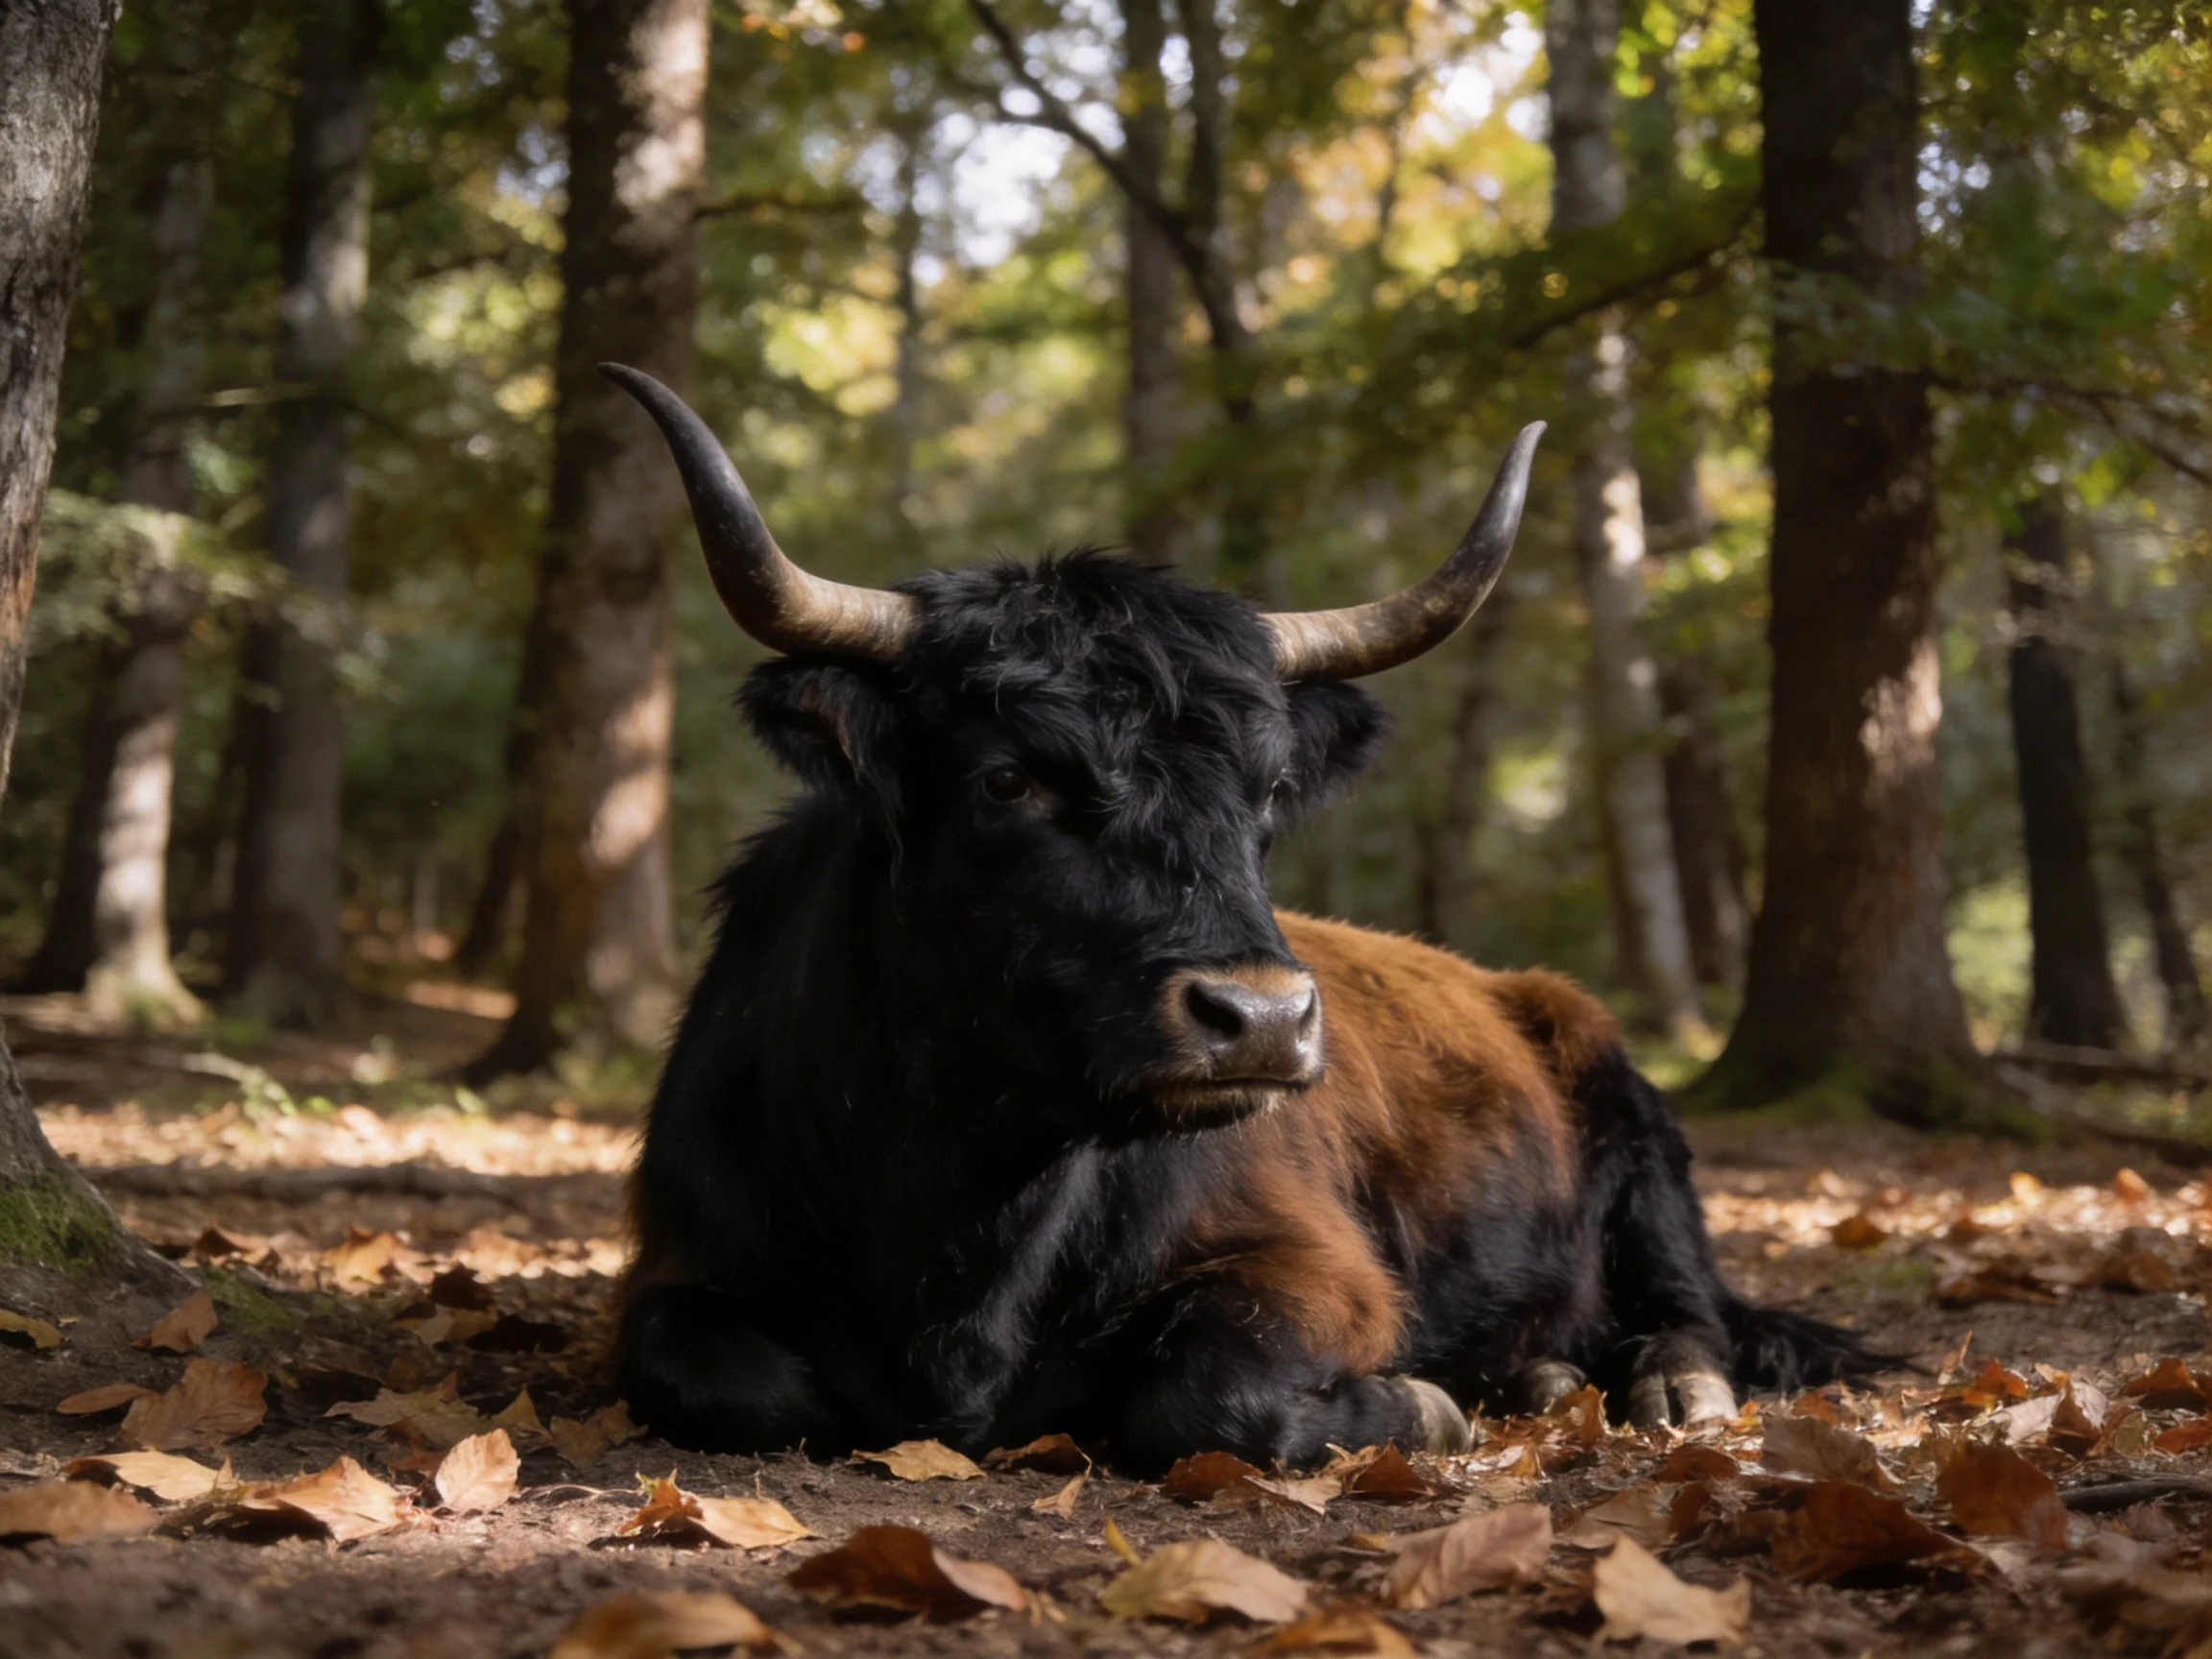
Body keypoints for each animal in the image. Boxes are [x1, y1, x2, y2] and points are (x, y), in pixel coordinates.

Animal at [602, 363, 1879, 1471]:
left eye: (1266, 791)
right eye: (1008, 777)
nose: (1260, 1021)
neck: (969, 1223)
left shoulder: (1311, 1263)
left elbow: (1201, 1394)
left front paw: (1423, 1403)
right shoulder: (678, 1266)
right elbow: (740, 1384)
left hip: (1646, 1155)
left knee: (1685, 1304)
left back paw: (1657, 1385)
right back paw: (1540, 1376)